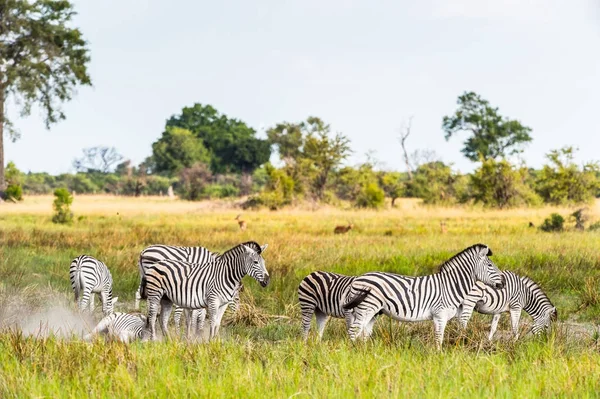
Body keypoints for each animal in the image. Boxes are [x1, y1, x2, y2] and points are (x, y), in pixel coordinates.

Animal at [342, 244, 506, 350]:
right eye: (490, 265)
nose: (504, 282)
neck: (450, 285)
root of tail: (357, 279)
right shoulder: (440, 315)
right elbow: (439, 339)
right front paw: (439, 358)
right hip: (366, 308)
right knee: (353, 331)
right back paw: (354, 353)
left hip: (373, 312)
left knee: (363, 334)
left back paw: (365, 353)